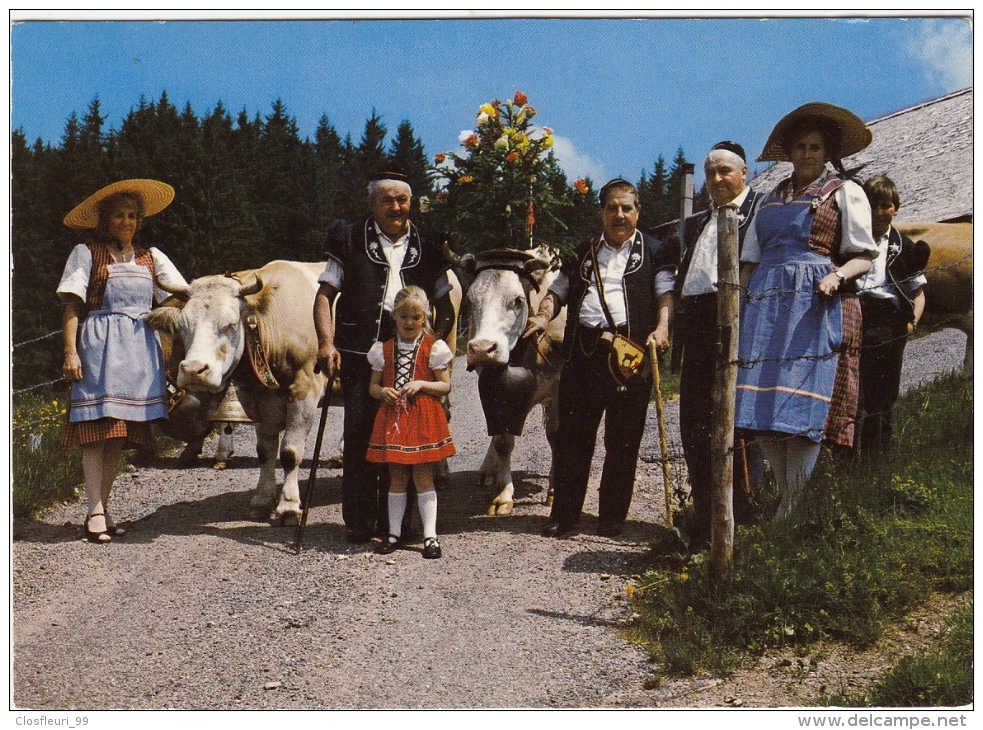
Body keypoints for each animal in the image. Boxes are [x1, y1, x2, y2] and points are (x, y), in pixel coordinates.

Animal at [150, 258, 324, 520]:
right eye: (182, 324)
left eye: (230, 324)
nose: (193, 370)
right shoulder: (261, 400)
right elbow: (265, 451)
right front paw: (262, 500)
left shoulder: (305, 391)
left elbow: (290, 452)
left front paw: (288, 505)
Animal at [448, 247, 568, 516]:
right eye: (470, 301)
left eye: (518, 300)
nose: (482, 349)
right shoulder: (494, 386)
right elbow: (503, 440)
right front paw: (503, 494)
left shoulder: (559, 387)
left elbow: (557, 436)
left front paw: (555, 490)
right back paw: (487, 470)